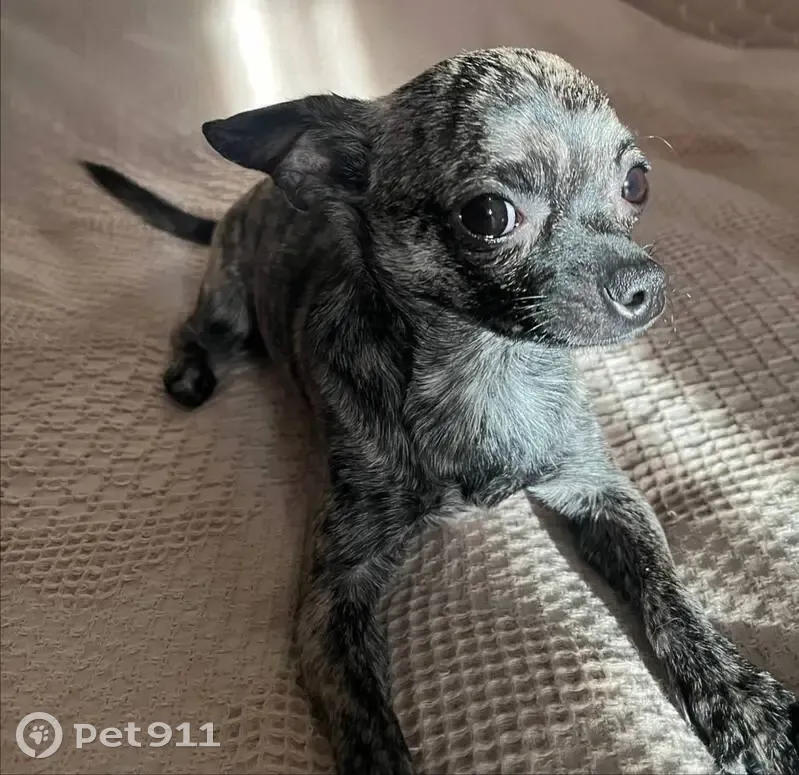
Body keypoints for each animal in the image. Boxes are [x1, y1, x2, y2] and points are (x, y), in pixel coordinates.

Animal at [82, 47, 798, 775]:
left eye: (636, 184)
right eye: (487, 216)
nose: (646, 285)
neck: (489, 368)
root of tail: (253, 196)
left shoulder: (604, 495)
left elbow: (669, 596)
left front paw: (739, 701)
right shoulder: (333, 594)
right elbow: (363, 718)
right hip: (228, 311)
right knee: (194, 328)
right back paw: (188, 372)